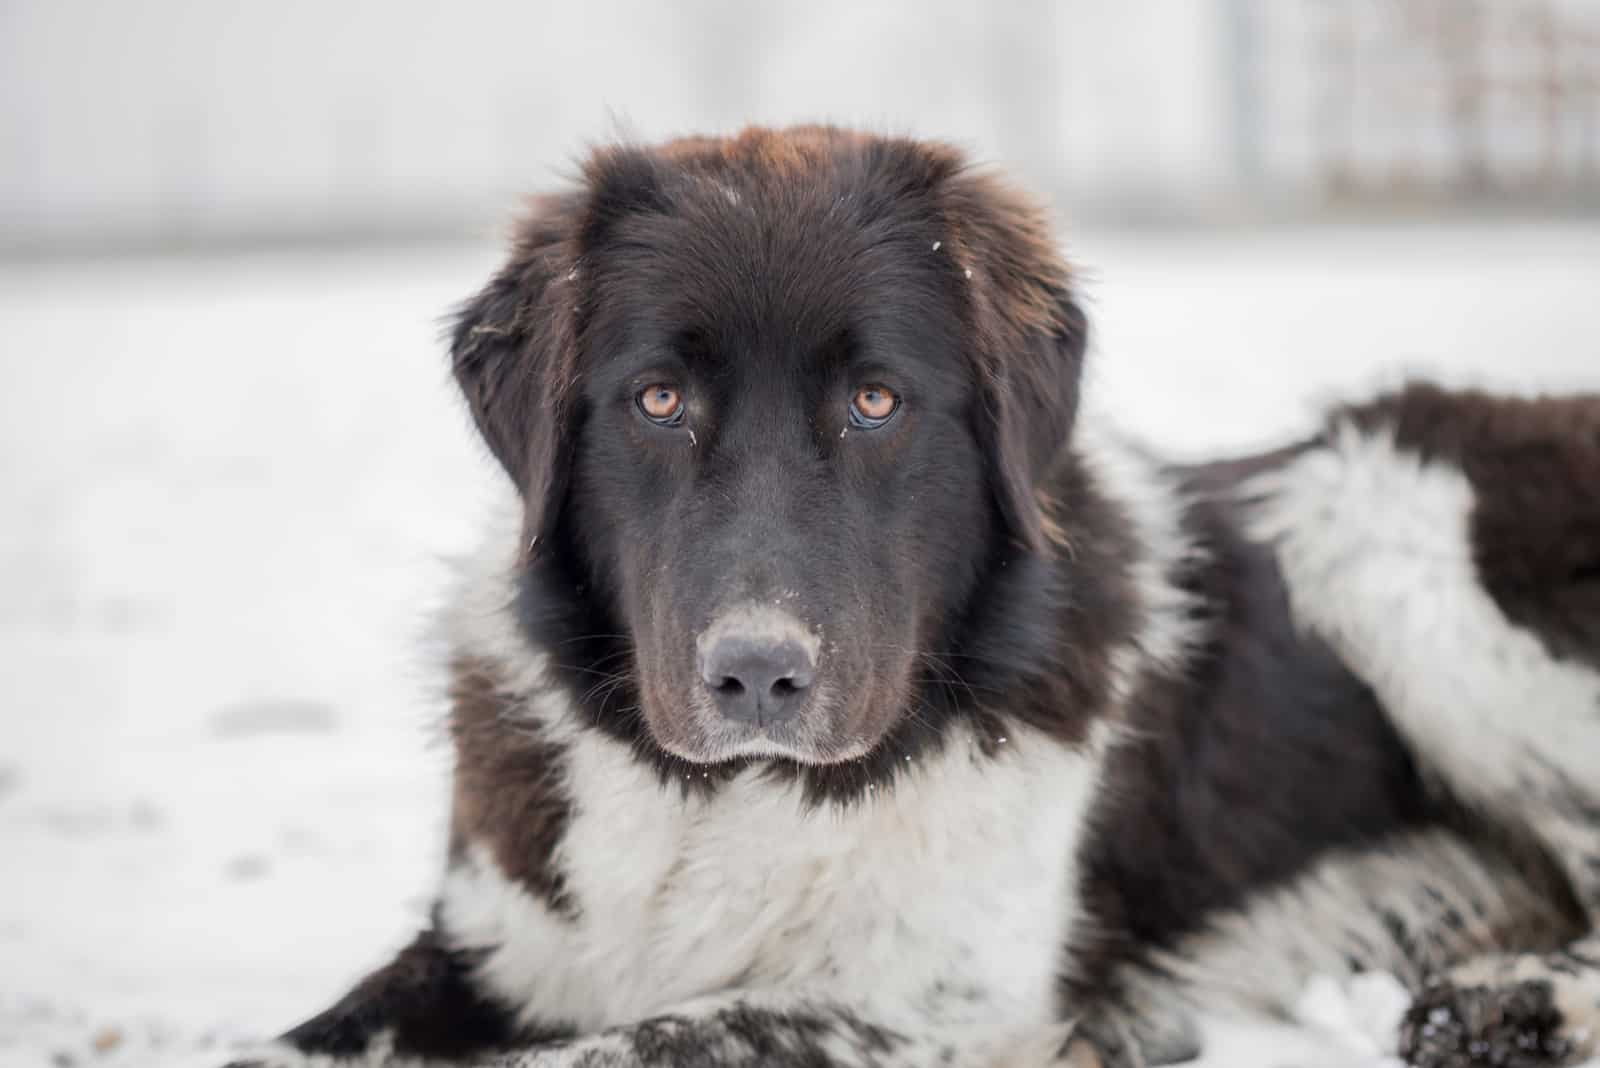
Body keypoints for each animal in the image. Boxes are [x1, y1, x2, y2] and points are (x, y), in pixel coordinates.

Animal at [233, 127, 1600, 1068]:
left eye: (875, 401)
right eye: (657, 400)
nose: (756, 675)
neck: (732, 798)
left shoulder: (936, 1006)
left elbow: (637, 1042)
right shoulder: (502, 936)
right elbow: (288, 1045)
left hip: (1374, 507)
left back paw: (1514, 1002)